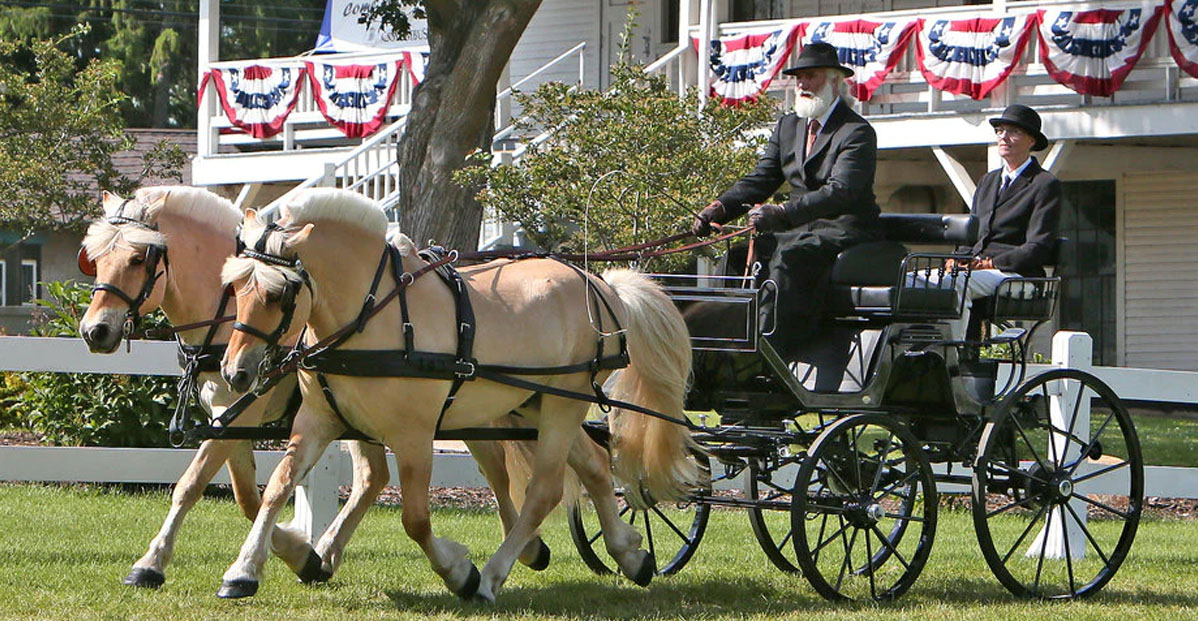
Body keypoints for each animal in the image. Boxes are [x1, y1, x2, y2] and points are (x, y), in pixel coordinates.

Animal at [77, 189, 553, 594]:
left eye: (137, 258)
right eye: (95, 259)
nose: (93, 331)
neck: (225, 312)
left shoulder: (243, 413)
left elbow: (201, 486)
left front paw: (154, 562)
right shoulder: (232, 415)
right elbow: (247, 494)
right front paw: (301, 555)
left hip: (462, 414)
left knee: (497, 471)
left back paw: (521, 549)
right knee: (374, 478)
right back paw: (330, 551)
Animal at [220, 189, 699, 604]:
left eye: (279, 293)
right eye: (235, 287)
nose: (234, 371)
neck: (374, 315)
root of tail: (599, 283)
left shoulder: (413, 435)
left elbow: (415, 519)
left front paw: (458, 572)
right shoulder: (320, 420)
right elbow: (277, 487)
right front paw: (243, 571)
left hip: (565, 402)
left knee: (544, 489)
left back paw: (491, 577)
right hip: (535, 402)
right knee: (596, 467)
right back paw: (629, 554)